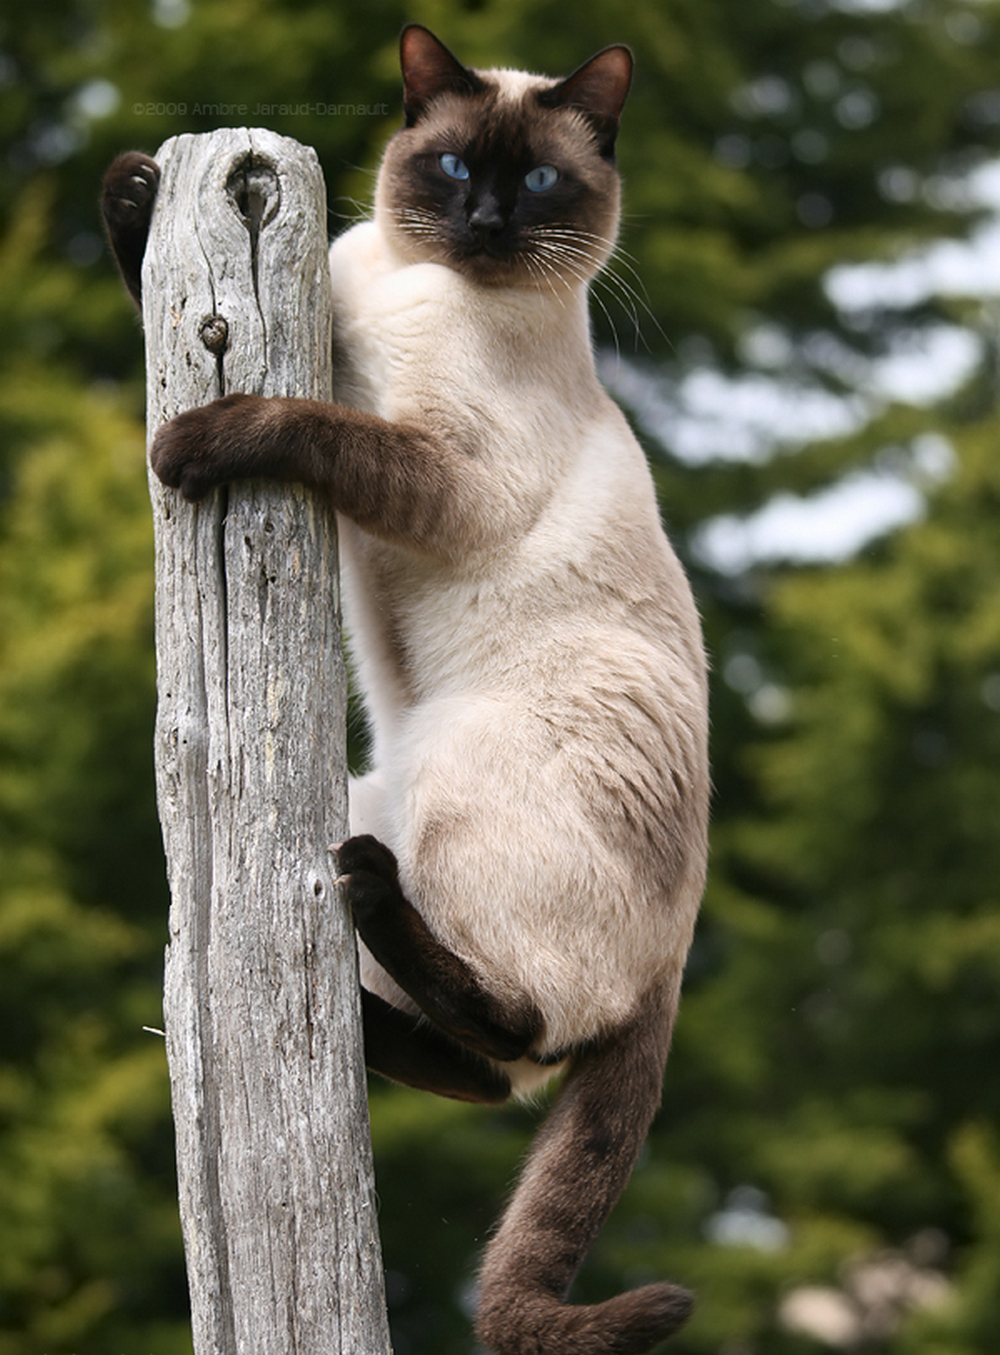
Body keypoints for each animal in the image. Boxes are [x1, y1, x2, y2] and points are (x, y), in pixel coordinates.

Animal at [102, 23, 710, 1355]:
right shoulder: (333, 349)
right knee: (488, 1069)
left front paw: (190, 447)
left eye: (537, 182)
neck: (412, 279)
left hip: (456, 784)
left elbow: (298, 421)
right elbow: (167, 297)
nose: (484, 219)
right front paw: (130, 194)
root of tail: (678, 950)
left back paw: (373, 898)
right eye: (451, 168)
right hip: (375, 786)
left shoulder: (435, 469)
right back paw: (315, 1001)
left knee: (519, 1031)